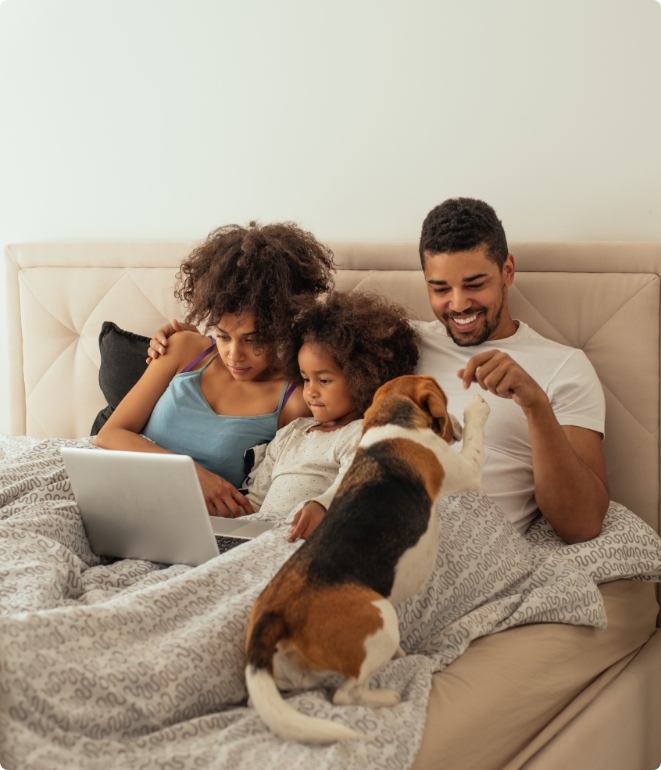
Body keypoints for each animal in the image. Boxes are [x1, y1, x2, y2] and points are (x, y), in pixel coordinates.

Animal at [245, 376, 488, 740]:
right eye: (446, 402)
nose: (454, 423)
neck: (391, 423)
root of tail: (274, 611)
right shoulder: (466, 468)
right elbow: (475, 439)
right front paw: (477, 406)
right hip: (381, 620)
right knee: (347, 694)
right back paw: (388, 695)